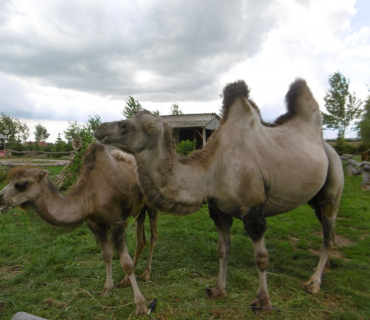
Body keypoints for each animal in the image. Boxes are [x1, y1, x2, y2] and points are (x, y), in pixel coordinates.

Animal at [0, 142, 158, 316]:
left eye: (21, 184)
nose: (1, 197)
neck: (90, 195)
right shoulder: (95, 224)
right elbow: (107, 255)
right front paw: (107, 289)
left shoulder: (117, 221)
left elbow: (126, 263)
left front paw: (140, 304)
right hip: (138, 208)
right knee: (140, 240)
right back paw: (124, 281)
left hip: (151, 204)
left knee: (153, 237)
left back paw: (147, 274)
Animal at [94, 79, 344, 314]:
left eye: (125, 125)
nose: (99, 128)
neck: (211, 171)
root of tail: (327, 146)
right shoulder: (219, 209)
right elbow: (223, 250)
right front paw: (218, 290)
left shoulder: (253, 211)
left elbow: (261, 258)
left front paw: (263, 302)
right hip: (314, 198)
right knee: (329, 232)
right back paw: (326, 268)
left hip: (332, 186)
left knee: (327, 234)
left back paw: (313, 283)